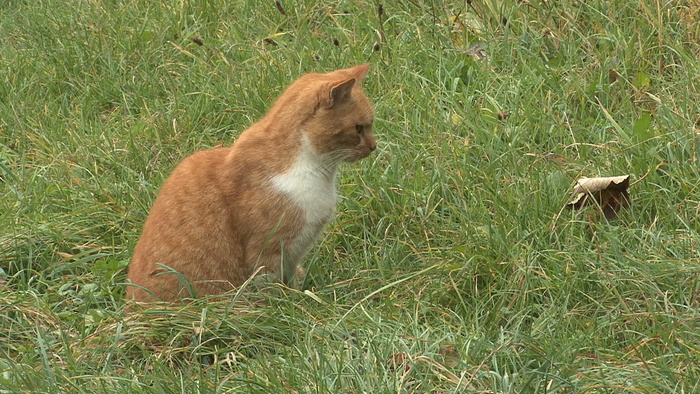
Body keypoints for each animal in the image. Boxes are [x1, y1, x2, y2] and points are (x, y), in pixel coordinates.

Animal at [126, 64, 378, 304]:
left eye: (370, 125)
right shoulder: (268, 249)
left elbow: (291, 279)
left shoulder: (294, 255)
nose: (374, 146)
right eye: (358, 128)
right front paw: (286, 305)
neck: (315, 168)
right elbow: (271, 286)